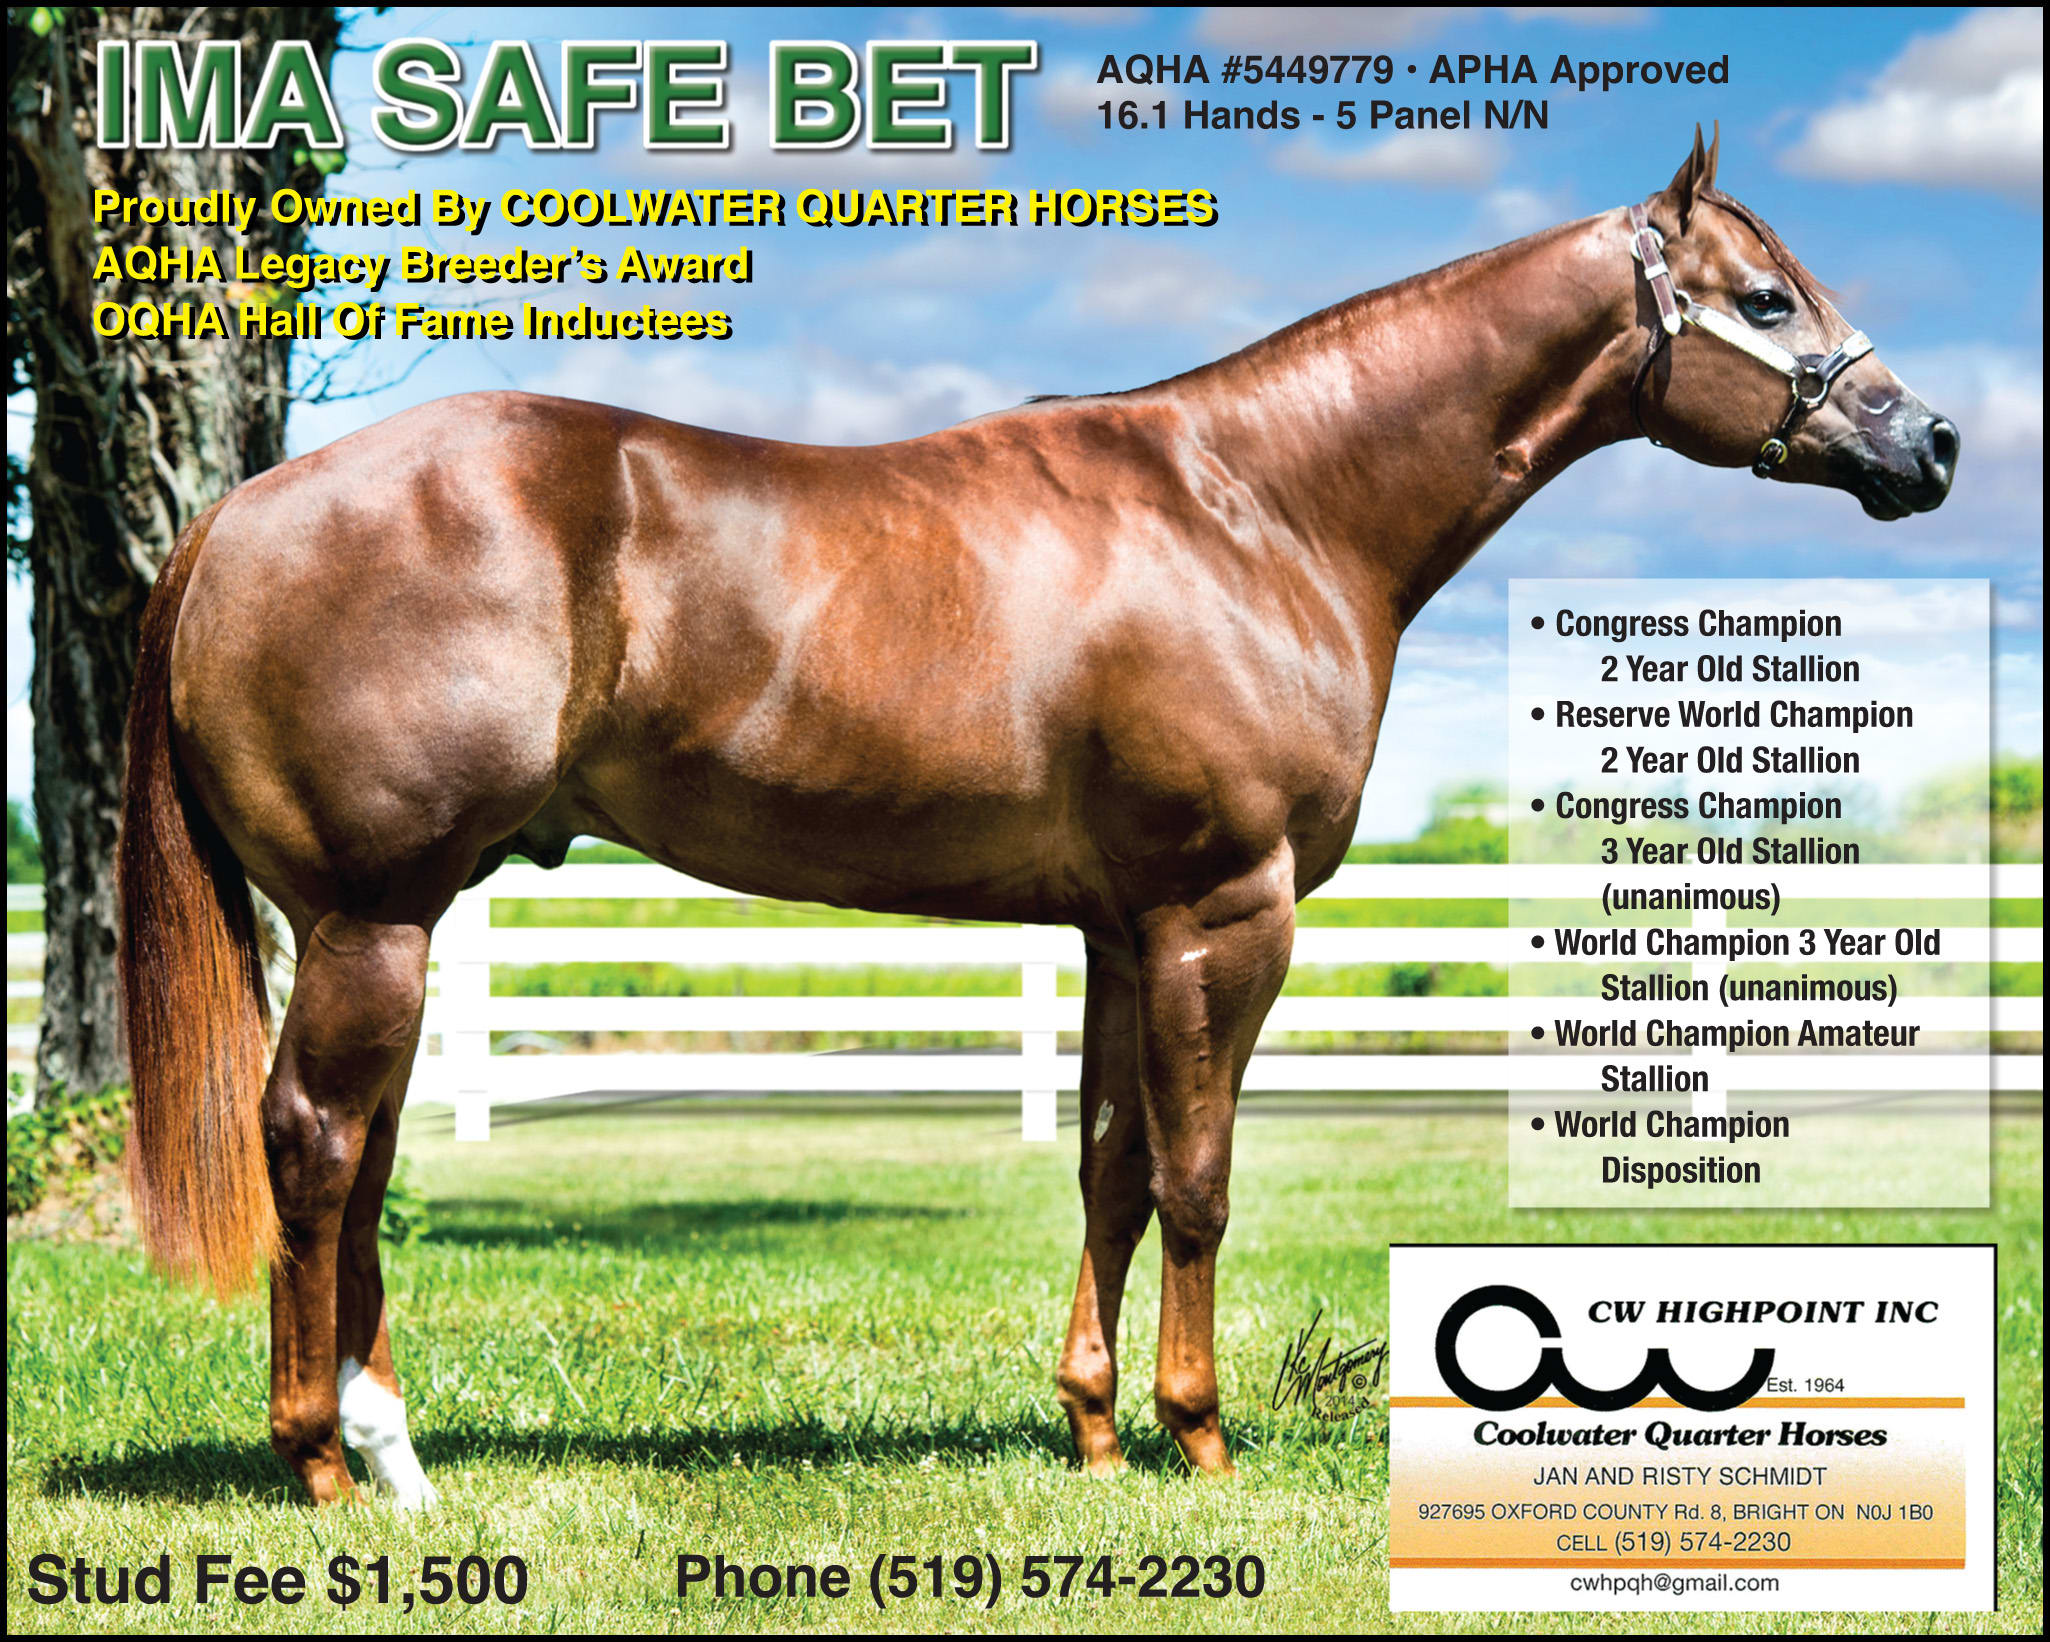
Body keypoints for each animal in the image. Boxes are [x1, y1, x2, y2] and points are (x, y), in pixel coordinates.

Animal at [116, 129, 1956, 1507]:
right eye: (1766, 297)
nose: (1930, 442)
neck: (1258, 511)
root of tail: (239, 515)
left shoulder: (1125, 927)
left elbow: (1112, 1170)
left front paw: (1092, 1426)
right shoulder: (1229, 910)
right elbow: (1202, 1178)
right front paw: (1200, 1440)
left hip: (386, 926)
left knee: (358, 1161)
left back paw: (392, 1456)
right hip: (372, 917)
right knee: (318, 1145)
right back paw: (324, 1459)